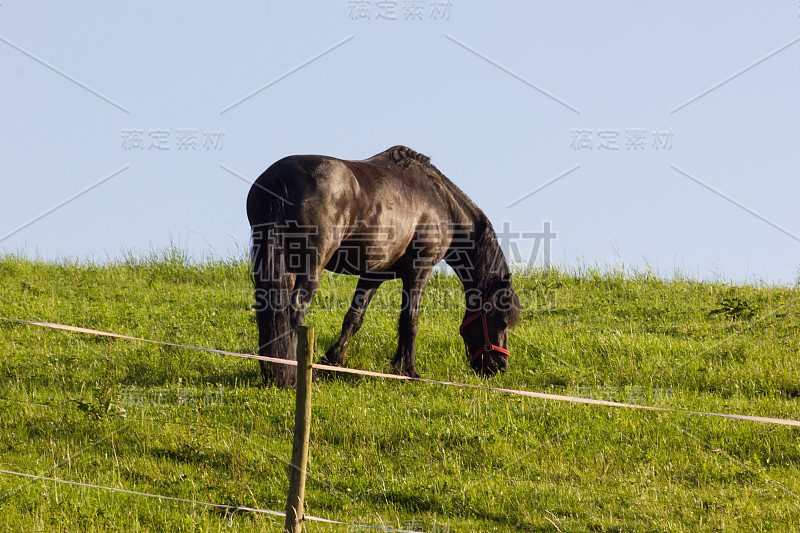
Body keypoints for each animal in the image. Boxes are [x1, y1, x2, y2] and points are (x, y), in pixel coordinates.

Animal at [247, 145, 520, 386]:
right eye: (501, 322)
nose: (500, 367)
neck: (441, 203)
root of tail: (279, 177)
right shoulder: (420, 270)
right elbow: (410, 319)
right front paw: (408, 370)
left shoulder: (373, 274)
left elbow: (354, 318)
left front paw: (334, 361)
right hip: (312, 265)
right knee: (295, 311)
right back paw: (299, 371)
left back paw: (274, 370)